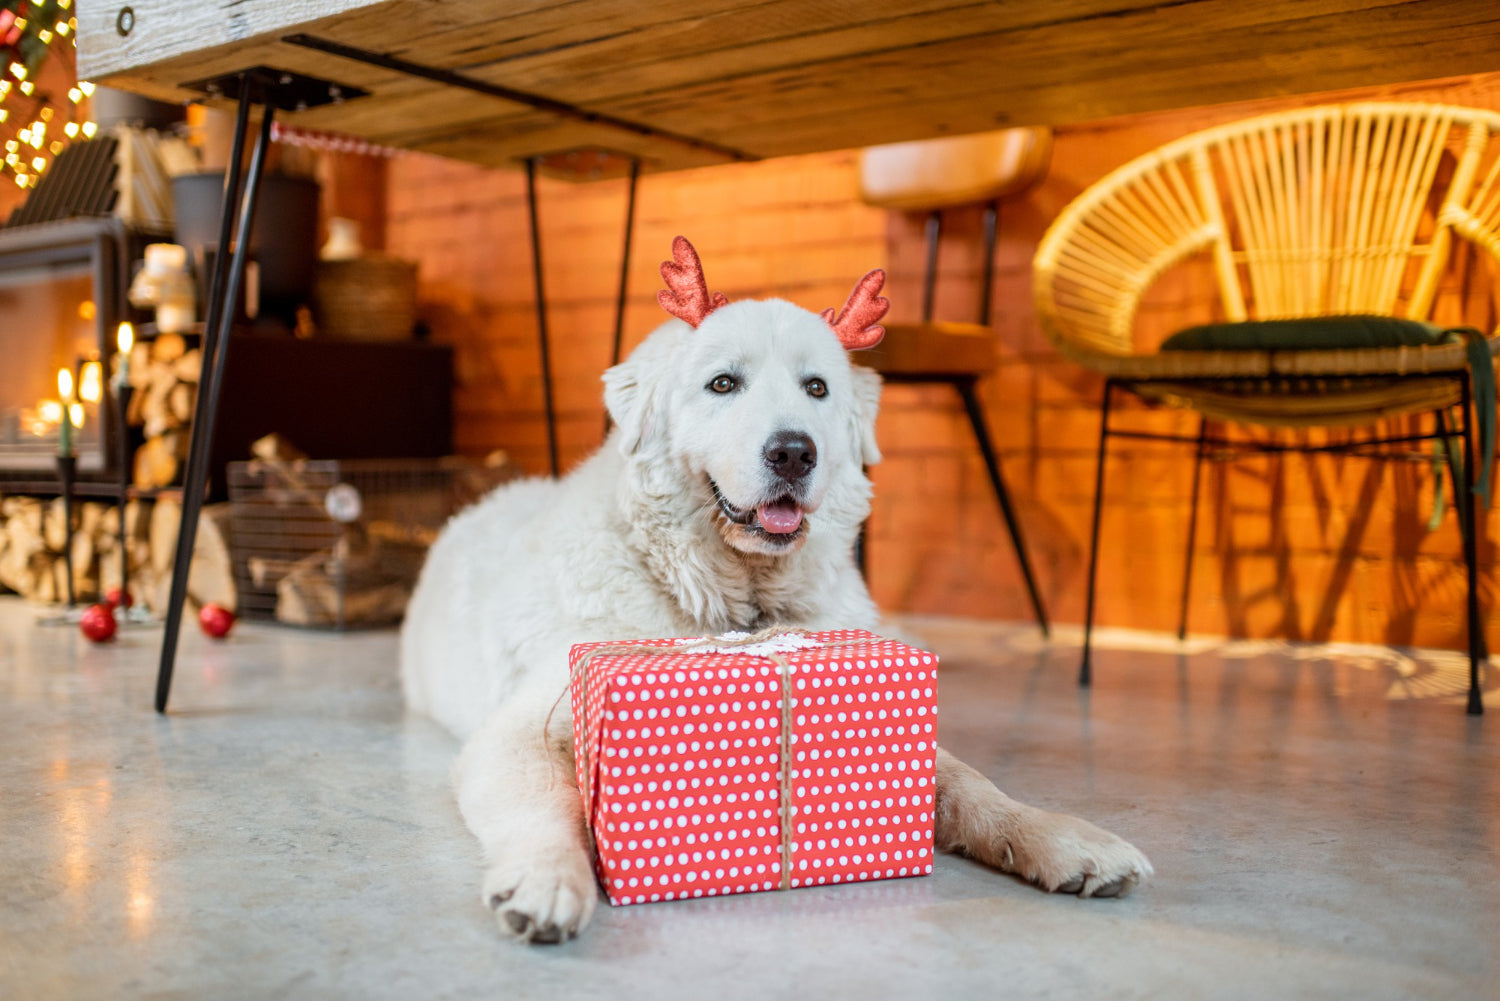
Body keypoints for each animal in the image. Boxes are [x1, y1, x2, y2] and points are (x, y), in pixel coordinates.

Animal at [399, 238, 1146, 942]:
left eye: (816, 389)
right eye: (723, 383)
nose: (793, 451)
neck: (738, 601)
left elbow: (969, 782)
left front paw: (1062, 837)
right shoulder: (524, 729)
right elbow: (544, 805)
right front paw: (547, 882)